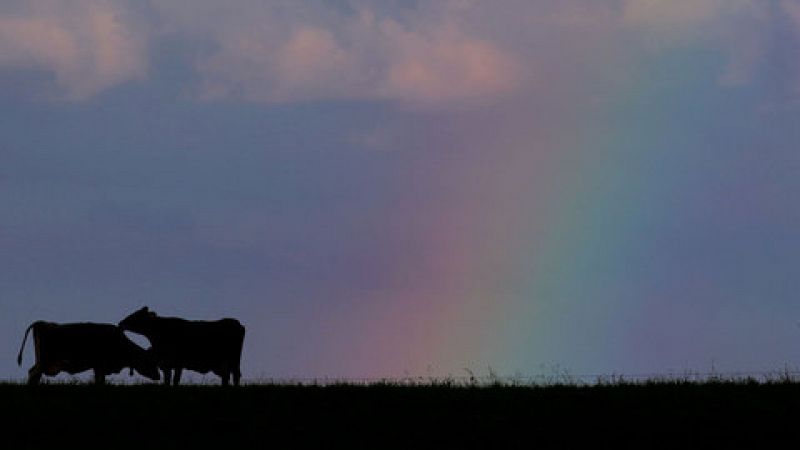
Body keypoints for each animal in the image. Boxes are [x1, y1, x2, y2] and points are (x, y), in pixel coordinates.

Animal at [16, 322, 159, 384]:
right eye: (150, 362)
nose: (158, 376)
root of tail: (41, 322)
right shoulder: (100, 366)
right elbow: (99, 381)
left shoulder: (99, 367)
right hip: (45, 360)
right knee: (34, 373)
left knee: (33, 372)